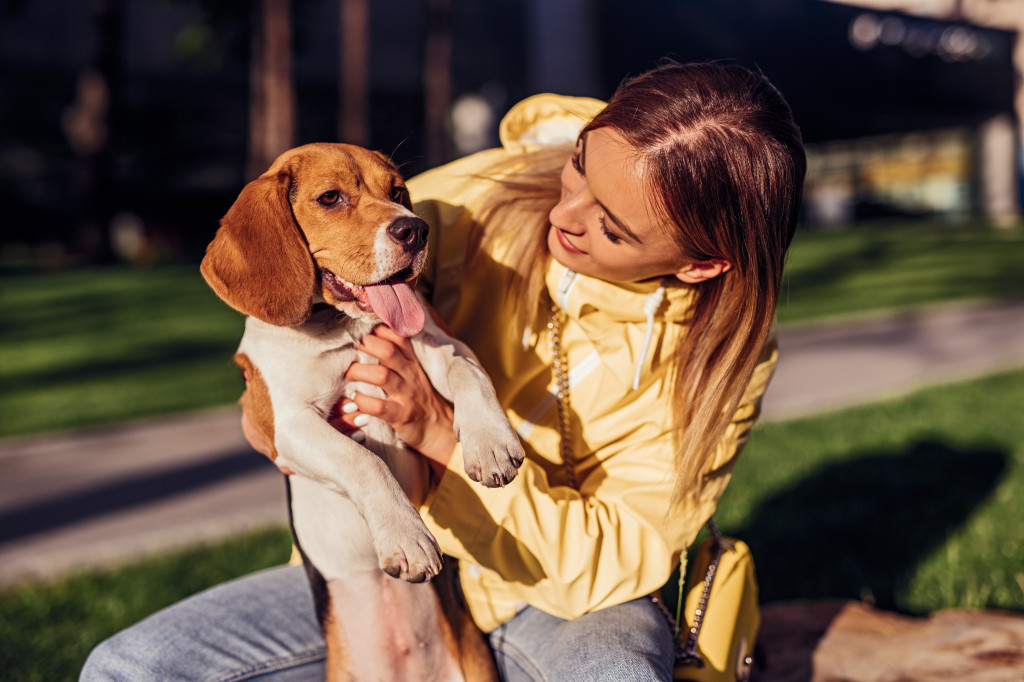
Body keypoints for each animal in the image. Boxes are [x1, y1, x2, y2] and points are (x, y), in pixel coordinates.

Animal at [199, 140, 524, 675]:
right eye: (331, 198)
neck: (345, 329)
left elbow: (469, 374)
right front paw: (407, 537)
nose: (415, 229)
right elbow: (364, 460)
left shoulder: (440, 343)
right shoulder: (287, 426)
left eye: (398, 192)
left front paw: (491, 443)